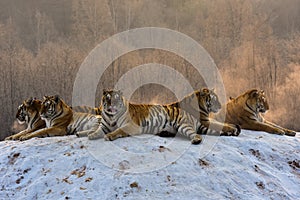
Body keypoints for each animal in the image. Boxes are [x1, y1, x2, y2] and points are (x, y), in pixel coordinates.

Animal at [86, 90, 234, 145]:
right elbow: (98, 131)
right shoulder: (104, 126)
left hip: (184, 126)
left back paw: (196, 140)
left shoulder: (131, 126)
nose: (221, 105)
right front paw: (92, 135)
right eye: (107, 98)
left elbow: (118, 130)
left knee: (195, 135)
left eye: (116, 99)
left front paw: (109, 136)